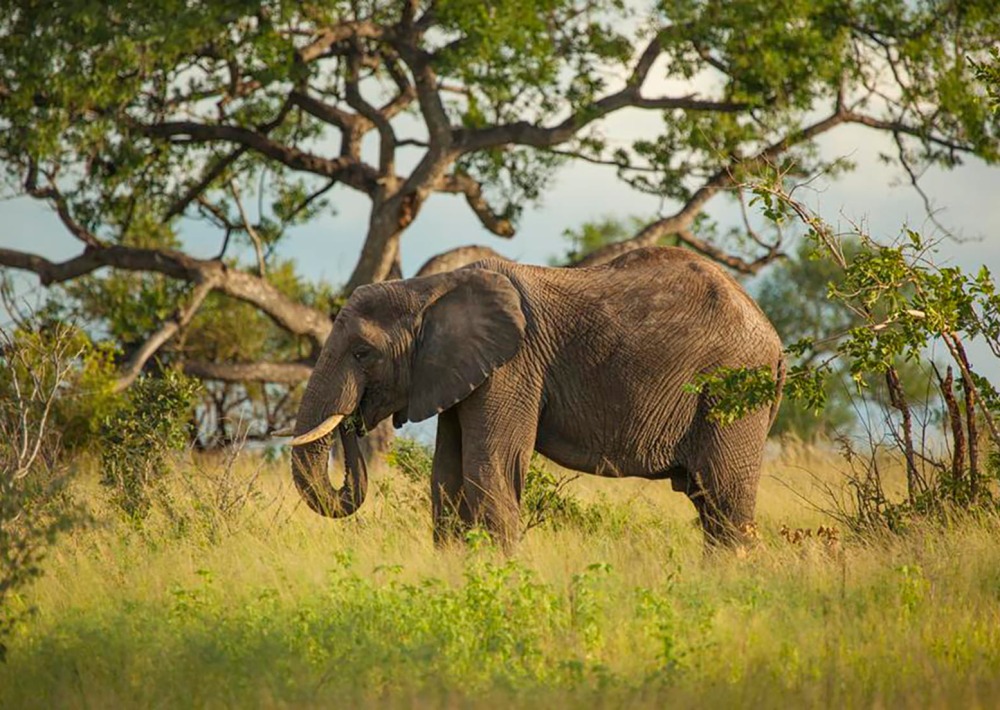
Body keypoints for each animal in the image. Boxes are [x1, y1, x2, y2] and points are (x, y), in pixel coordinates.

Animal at [289, 246, 784, 547]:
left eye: (362, 353)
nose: (352, 422)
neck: (427, 289)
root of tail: (774, 340)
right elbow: (446, 478)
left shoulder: (513, 367)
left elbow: (490, 468)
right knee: (709, 504)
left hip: (732, 391)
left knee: (724, 499)